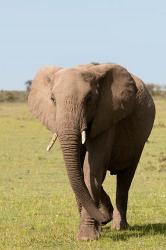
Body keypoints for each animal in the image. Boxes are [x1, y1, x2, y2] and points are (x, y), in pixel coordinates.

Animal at [27, 62, 155, 240]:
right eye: (53, 99)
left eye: (89, 99)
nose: (103, 219)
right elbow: (81, 171)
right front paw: (98, 225)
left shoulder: (107, 115)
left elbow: (92, 169)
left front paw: (87, 237)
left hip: (139, 141)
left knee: (125, 178)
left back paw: (119, 227)